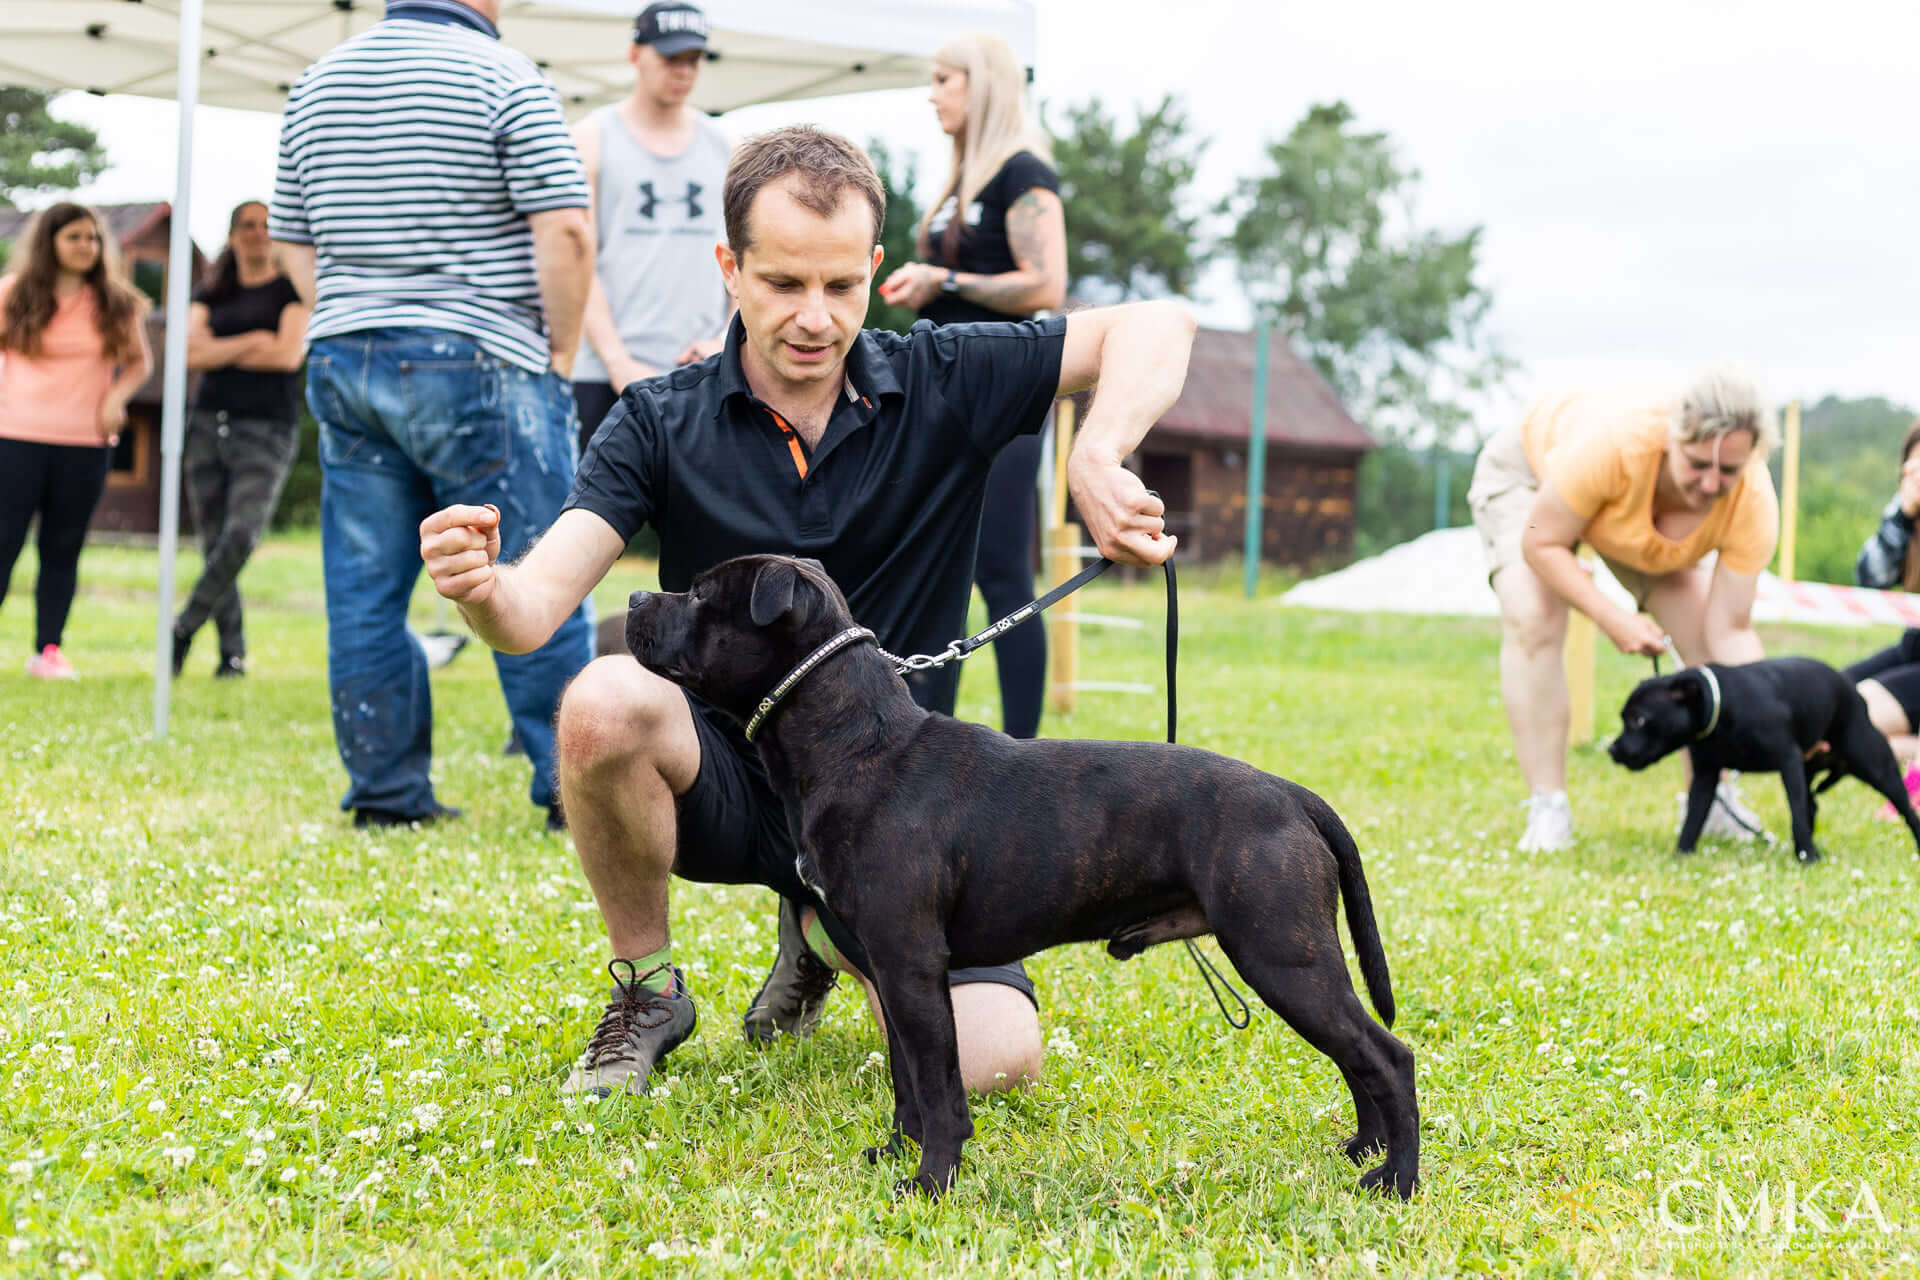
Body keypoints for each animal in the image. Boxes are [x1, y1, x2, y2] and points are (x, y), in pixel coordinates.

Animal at [622, 552, 1420, 1205]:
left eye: (701, 594)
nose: (632, 596)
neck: (857, 744)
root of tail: (1292, 794)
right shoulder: (889, 972)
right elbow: (907, 1080)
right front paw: (896, 1153)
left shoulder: (912, 968)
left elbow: (940, 1088)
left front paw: (931, 1183)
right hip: (1296, 965)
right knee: (1358, 1059)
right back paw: (1363, 1151)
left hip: (1283, 958)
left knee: (1387, 1056)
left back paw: (1396, 1180)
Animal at [1605, 660, 1920, 859]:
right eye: (1624, 717)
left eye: (1639, 719)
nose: (1613, 750)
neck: (1723, 707)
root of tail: (1853, 691)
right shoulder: (1706, 776)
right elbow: (1694, 818)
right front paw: (1681, 855)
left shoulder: (1788, 761)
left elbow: (1795, 813)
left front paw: (1807, 857)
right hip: (1810, 770)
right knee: (1812, 805)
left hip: (1877, 767)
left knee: (1905, 807)